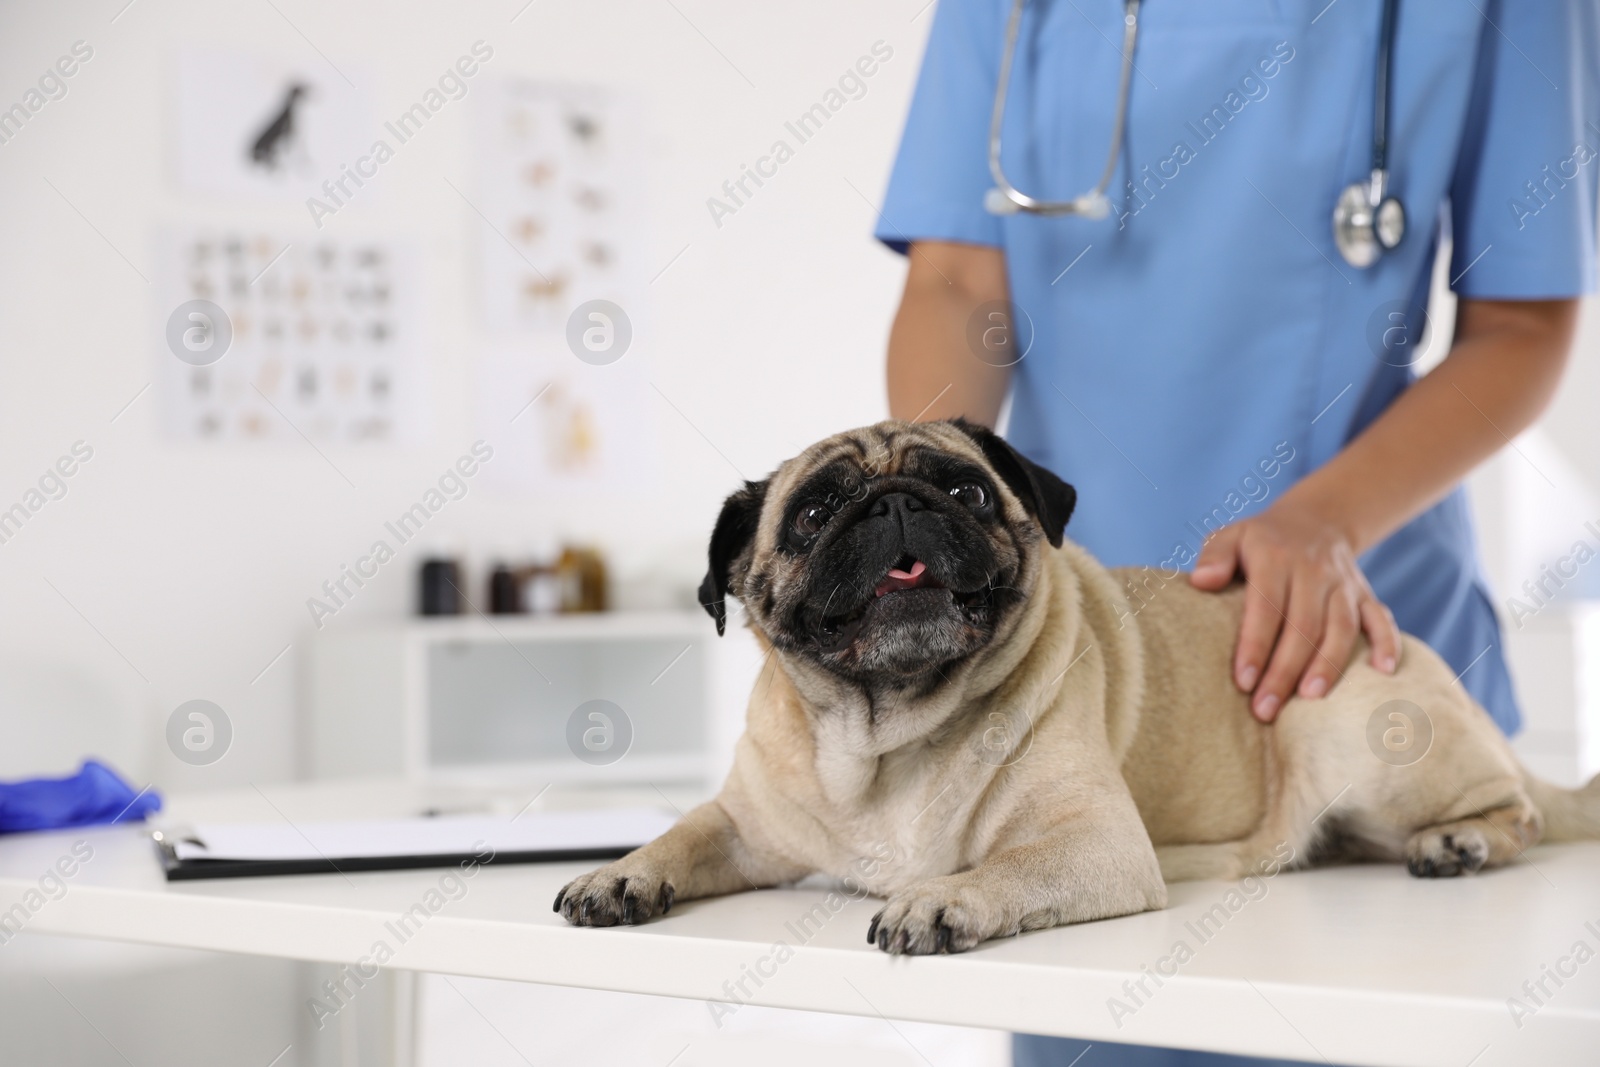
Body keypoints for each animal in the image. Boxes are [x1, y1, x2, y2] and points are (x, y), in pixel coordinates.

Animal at [553, 422, 1600, 953]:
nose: (895, 504)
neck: (890, 734)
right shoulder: (743, 823)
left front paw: (940, 899)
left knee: (1521, 811)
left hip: (1356, 736)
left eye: (967, 491)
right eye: (814, 514)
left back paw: (1461, 841)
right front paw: (620, 872)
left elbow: (1006, 868)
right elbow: (684, 832)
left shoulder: (1094, 844)